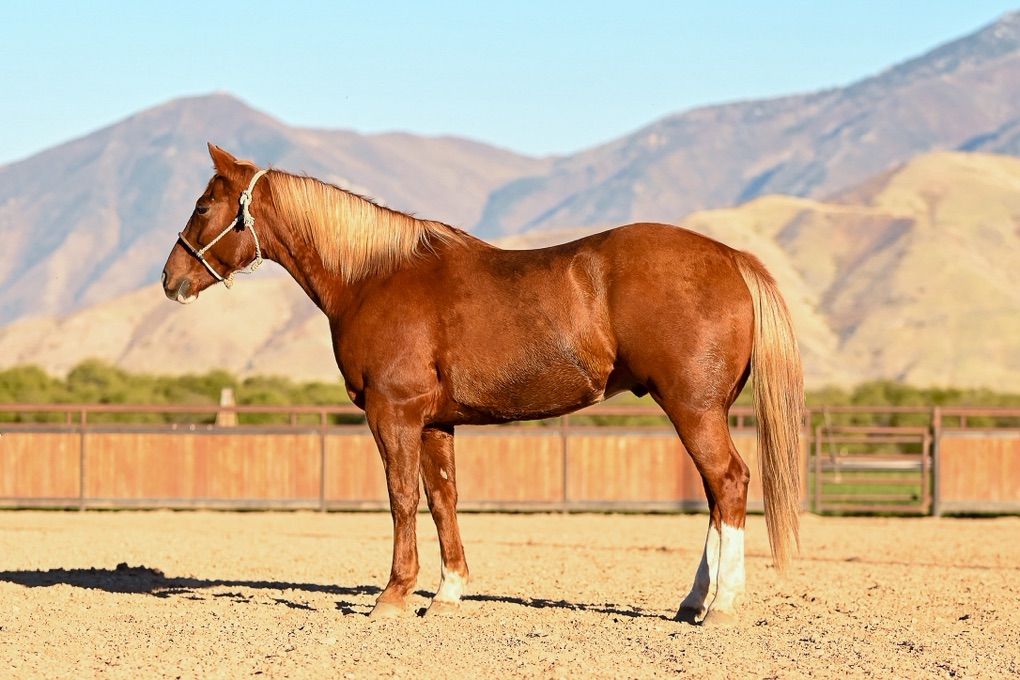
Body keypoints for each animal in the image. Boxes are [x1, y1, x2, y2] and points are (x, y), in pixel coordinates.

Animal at [161, 143, 803, 624]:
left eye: (202, 206)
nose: (171, 278)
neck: (373, 277)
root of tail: (730, 257)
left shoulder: (392, 414)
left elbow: (401, 498)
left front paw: (392, 596)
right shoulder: (435, 423)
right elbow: (443, 499)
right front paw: (446, 594)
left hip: (693, 409)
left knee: (729, 483)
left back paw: (721, 606)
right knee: (716, 494)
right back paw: (693, 601)